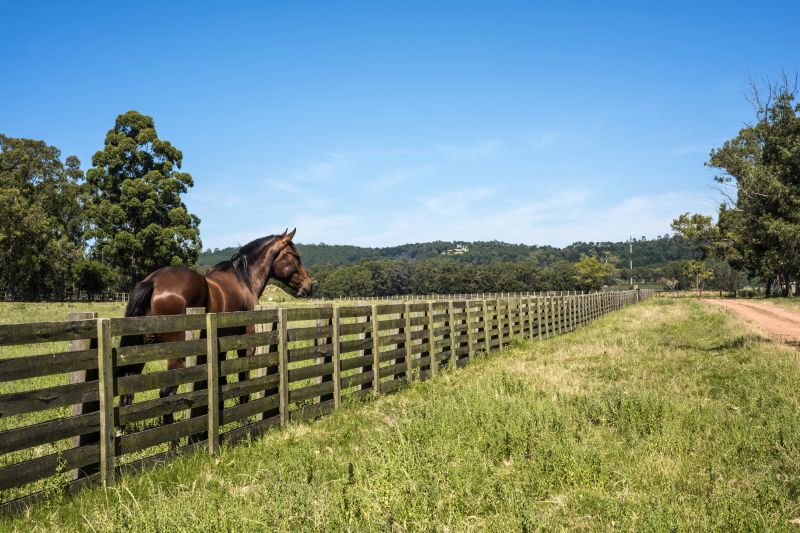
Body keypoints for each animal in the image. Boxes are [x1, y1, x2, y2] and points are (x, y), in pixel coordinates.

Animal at [117, 228, 314, 425]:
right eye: (295, 256)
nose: (309, 286)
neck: (244, 280)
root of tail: (154, 282)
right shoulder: (246, 345)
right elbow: (243, 379)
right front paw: (243, 419)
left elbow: (222, 380)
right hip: (176, 356)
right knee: (166, 393)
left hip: (142, 347)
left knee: (127, 393)